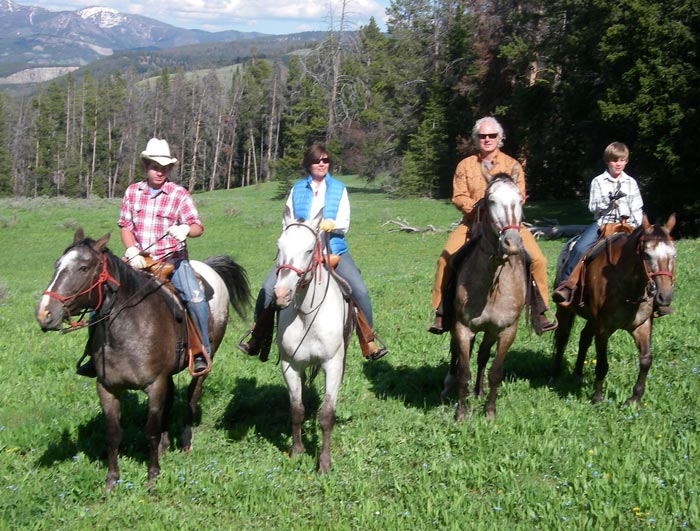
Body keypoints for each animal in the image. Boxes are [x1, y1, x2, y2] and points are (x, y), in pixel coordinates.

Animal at [35, 229, 250, 490]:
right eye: (57, 265)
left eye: (84, 268)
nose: (44, 313)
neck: (129, 328)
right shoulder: (106, 388)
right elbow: (113, 434)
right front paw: (111, 481)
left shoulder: (154, 384)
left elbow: (151, 431)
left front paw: (152, 476)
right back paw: (166, 445)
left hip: (206, 359)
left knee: (192, 394)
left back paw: (186, 441)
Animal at [272, 206, 352, 472]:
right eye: (279, 246)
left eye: (309, 249)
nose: (281, 294)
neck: (307, 316)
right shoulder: (290, 365)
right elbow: (296, 409)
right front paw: (296, 452)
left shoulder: (333, 365)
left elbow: (326, 414)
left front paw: (324, 463)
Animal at [440, 172, 528, 422]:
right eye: (491, 200)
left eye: (520, 199)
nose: (512, 243)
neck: (492, 284)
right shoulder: (462, 327)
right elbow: (463, 370)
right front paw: (461, 413)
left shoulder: (506, 330)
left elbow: (495, 370)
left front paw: (489, 411)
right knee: (458, 355)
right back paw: (449, 385)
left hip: (489, 332)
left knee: (481, 356)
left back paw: (478, 391)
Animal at [552, 214, 680, 406]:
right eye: (646, 254)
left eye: (674, 254)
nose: (665, 296)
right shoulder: (603, 329)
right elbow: (602, 363)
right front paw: (597, 398)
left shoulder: (642, 325)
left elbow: (646, 360)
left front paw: (634, 399)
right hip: (565, 309)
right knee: (562, 338)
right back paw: (554, 376)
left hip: (592, 319)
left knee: (584, 338)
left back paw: (578, 374)